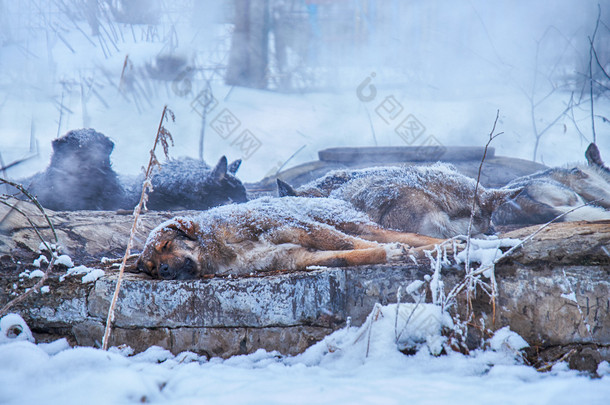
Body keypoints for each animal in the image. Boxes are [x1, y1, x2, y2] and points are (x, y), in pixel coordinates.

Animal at [139, 196, 452, 278]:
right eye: (152, 269)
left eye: (166, 244)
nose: (164, 271)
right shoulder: (294, 256)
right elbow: (346, 256)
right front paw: (388, 254)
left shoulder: (304, 229)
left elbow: (350, 245)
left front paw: (393, 251)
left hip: (350, 224)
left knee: (408, 236)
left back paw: (448, 244)